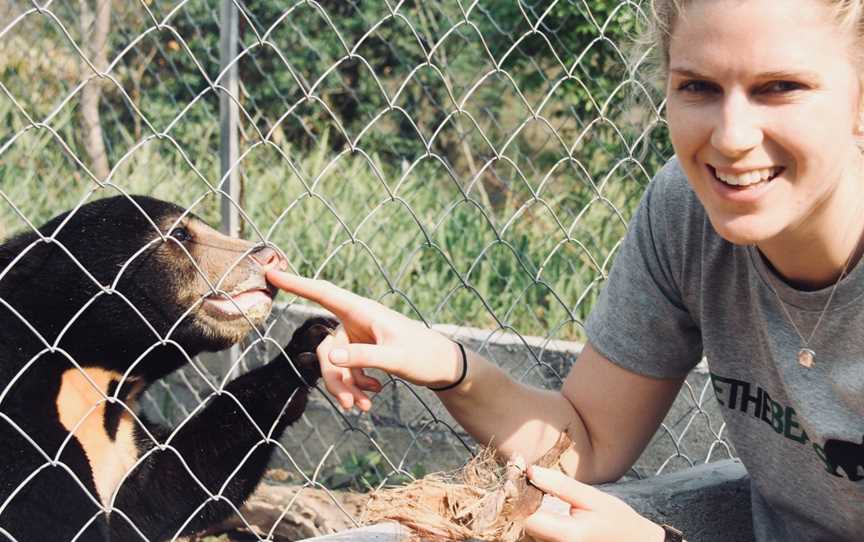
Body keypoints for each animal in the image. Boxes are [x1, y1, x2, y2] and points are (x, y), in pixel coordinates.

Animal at [0, 197, 336, 542]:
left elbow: (163, 489)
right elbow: (51, 511)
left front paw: (307, 347)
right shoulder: (20, 428)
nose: (271, 256)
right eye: (180, 233)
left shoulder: (127, 439)